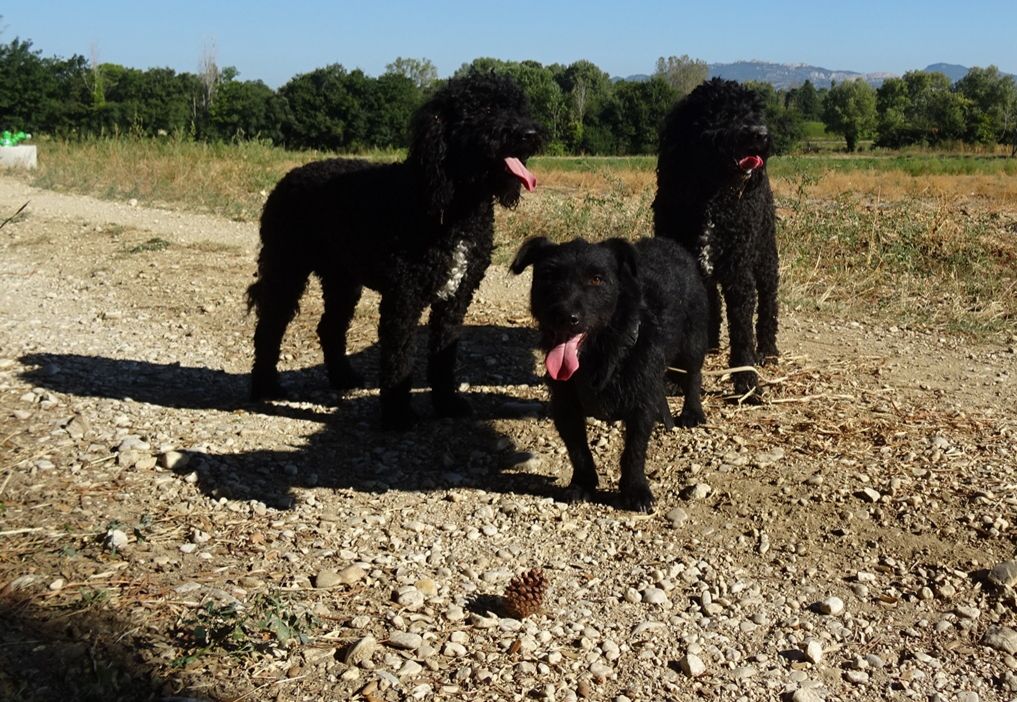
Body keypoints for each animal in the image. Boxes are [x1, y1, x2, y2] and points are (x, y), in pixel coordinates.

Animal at [247, 72, 545, 427]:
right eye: (485, 108)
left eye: (519, 107)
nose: (530, 134)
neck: (454, 206)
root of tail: (287, 178)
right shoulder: (404, 296)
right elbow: (399, 357)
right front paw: (398, 415)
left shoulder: (455, 297)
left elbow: (443, 356)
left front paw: (447, 404)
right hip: (286, 268)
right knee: (269, 327)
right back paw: (265, 387)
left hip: (342, 280)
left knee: (330, 327)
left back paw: (343, 377)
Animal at [512, 235, 703, 508]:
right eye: (548, 275)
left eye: (596, 279)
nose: (566, 316)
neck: (602, 352)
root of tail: (667, 242)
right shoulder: (565, 404)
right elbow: (578, 449)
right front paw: (582, 484)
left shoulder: (642, 400)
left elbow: (634, 449)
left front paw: (635, 489)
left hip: (693, 339)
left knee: (694, 373)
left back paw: (693, 411)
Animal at [650, 77, 776, 396]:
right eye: (724, 112)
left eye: (755, 111)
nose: (761, 134)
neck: (711, 195)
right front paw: (675, 378)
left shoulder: (739, 273)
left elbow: (742, 332)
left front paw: (746, 381)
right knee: (712, 302)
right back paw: (709, 344)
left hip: (765, 254)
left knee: (770, 302)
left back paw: (768, 350)